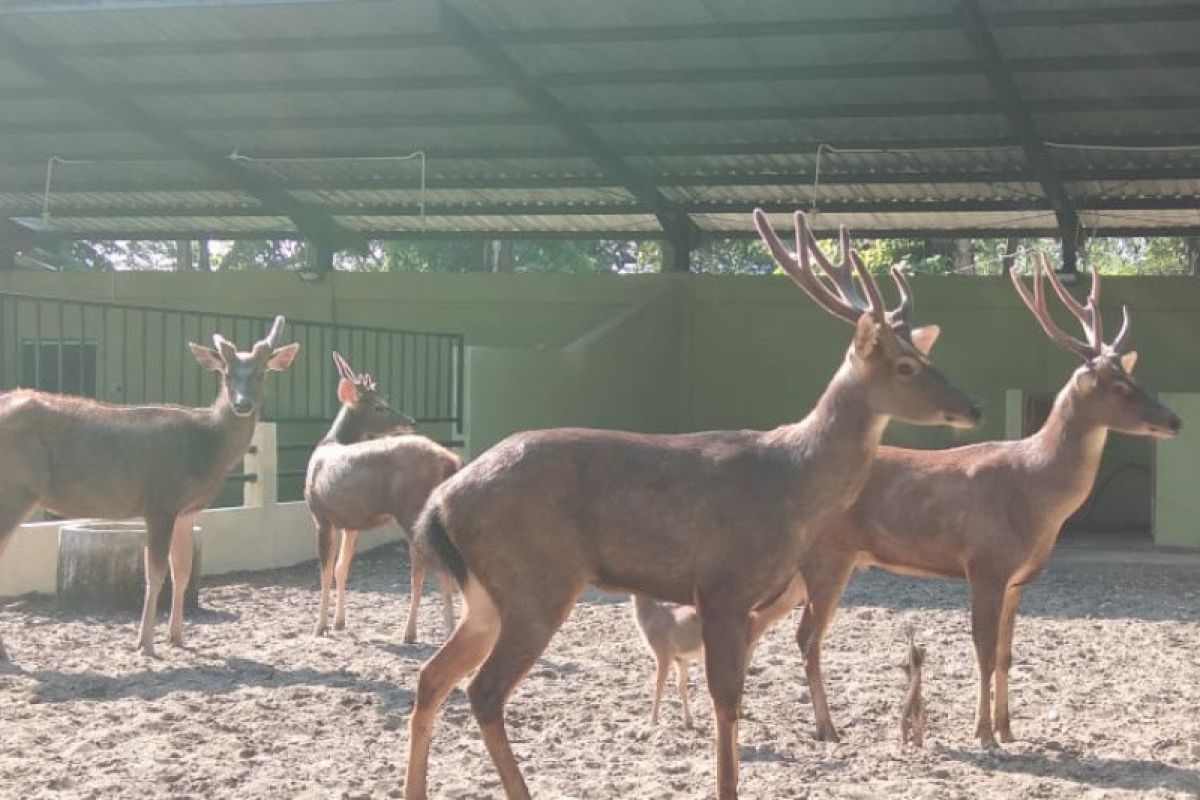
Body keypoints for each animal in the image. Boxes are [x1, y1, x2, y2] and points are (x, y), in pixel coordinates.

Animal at [0, 316, 298, 662]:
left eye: (262, 372)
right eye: (226, 373)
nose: (242, 404)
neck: (205, 448)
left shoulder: (187, 511)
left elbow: (182, 572)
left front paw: (177, 637)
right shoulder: (160, 502)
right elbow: (155, 574)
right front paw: (145, 643)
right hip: (14, 488)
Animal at [304, 352, 458, 642]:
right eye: (379, 406)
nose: (411, 421)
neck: (331, 443)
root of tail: (450, 460)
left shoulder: (321, 516)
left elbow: (324, 571)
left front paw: (320, 626)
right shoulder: (351, 523)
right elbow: (341, 567)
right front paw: (339, 622)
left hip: (412, 511)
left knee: (427, 568)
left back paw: (417, 632)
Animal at [628, 573, 806, 729]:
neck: (651, 617)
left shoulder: (663, 653)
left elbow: (658, 685)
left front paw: (652, 721)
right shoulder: (680, 658)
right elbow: (681, 685)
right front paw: (688, 721)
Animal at [796, 257, 1180, 753]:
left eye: (1137, 377)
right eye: (1118, 386)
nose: (1174, 419)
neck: (1036, 492)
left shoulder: (1017, 581)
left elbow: (1006, 654)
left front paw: (1008, 728)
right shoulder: (985, 563)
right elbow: (981, 651)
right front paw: (983, 734)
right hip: (830, 554)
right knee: (808, 638)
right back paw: (827, 728)